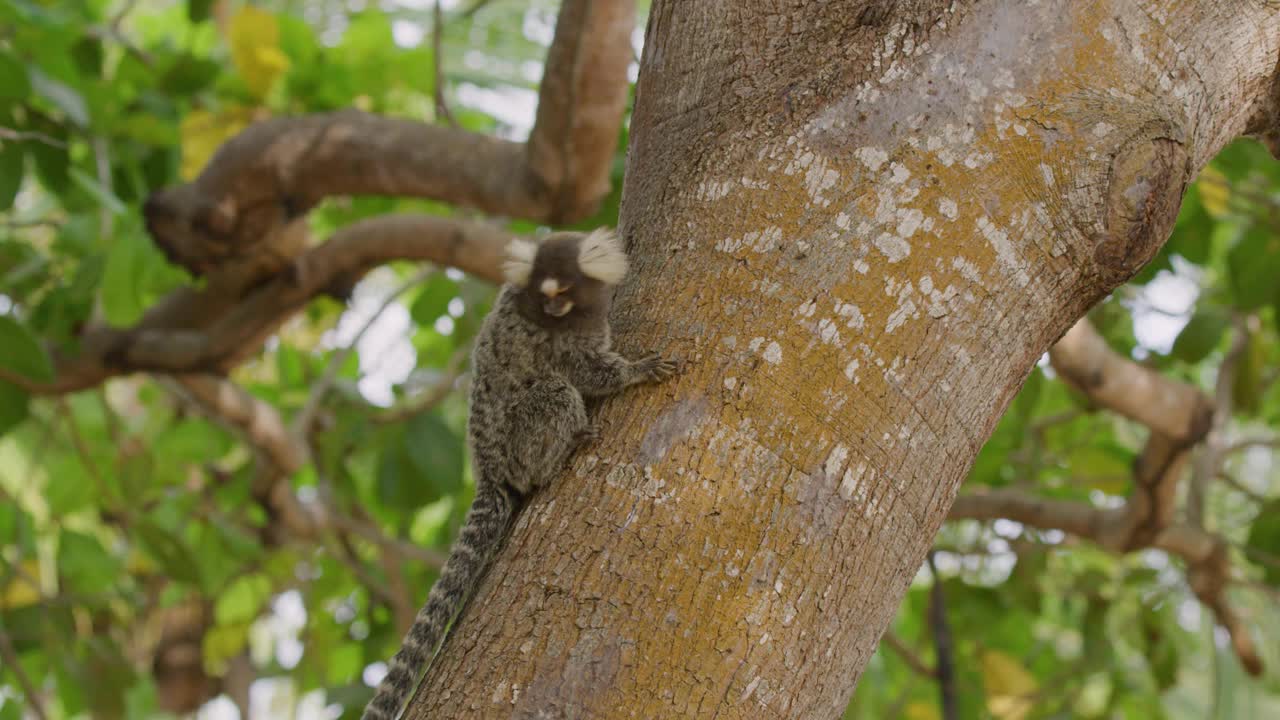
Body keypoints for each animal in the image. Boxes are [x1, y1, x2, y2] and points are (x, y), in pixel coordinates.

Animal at [363, 226, 680, 712]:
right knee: (555, 392)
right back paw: (561, 454)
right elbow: (586, 373)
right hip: (521, 439)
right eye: (544, 294)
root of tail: (489, 471)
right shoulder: (557, 342)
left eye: (564, 290)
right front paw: (637, 370)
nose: (552, 309)